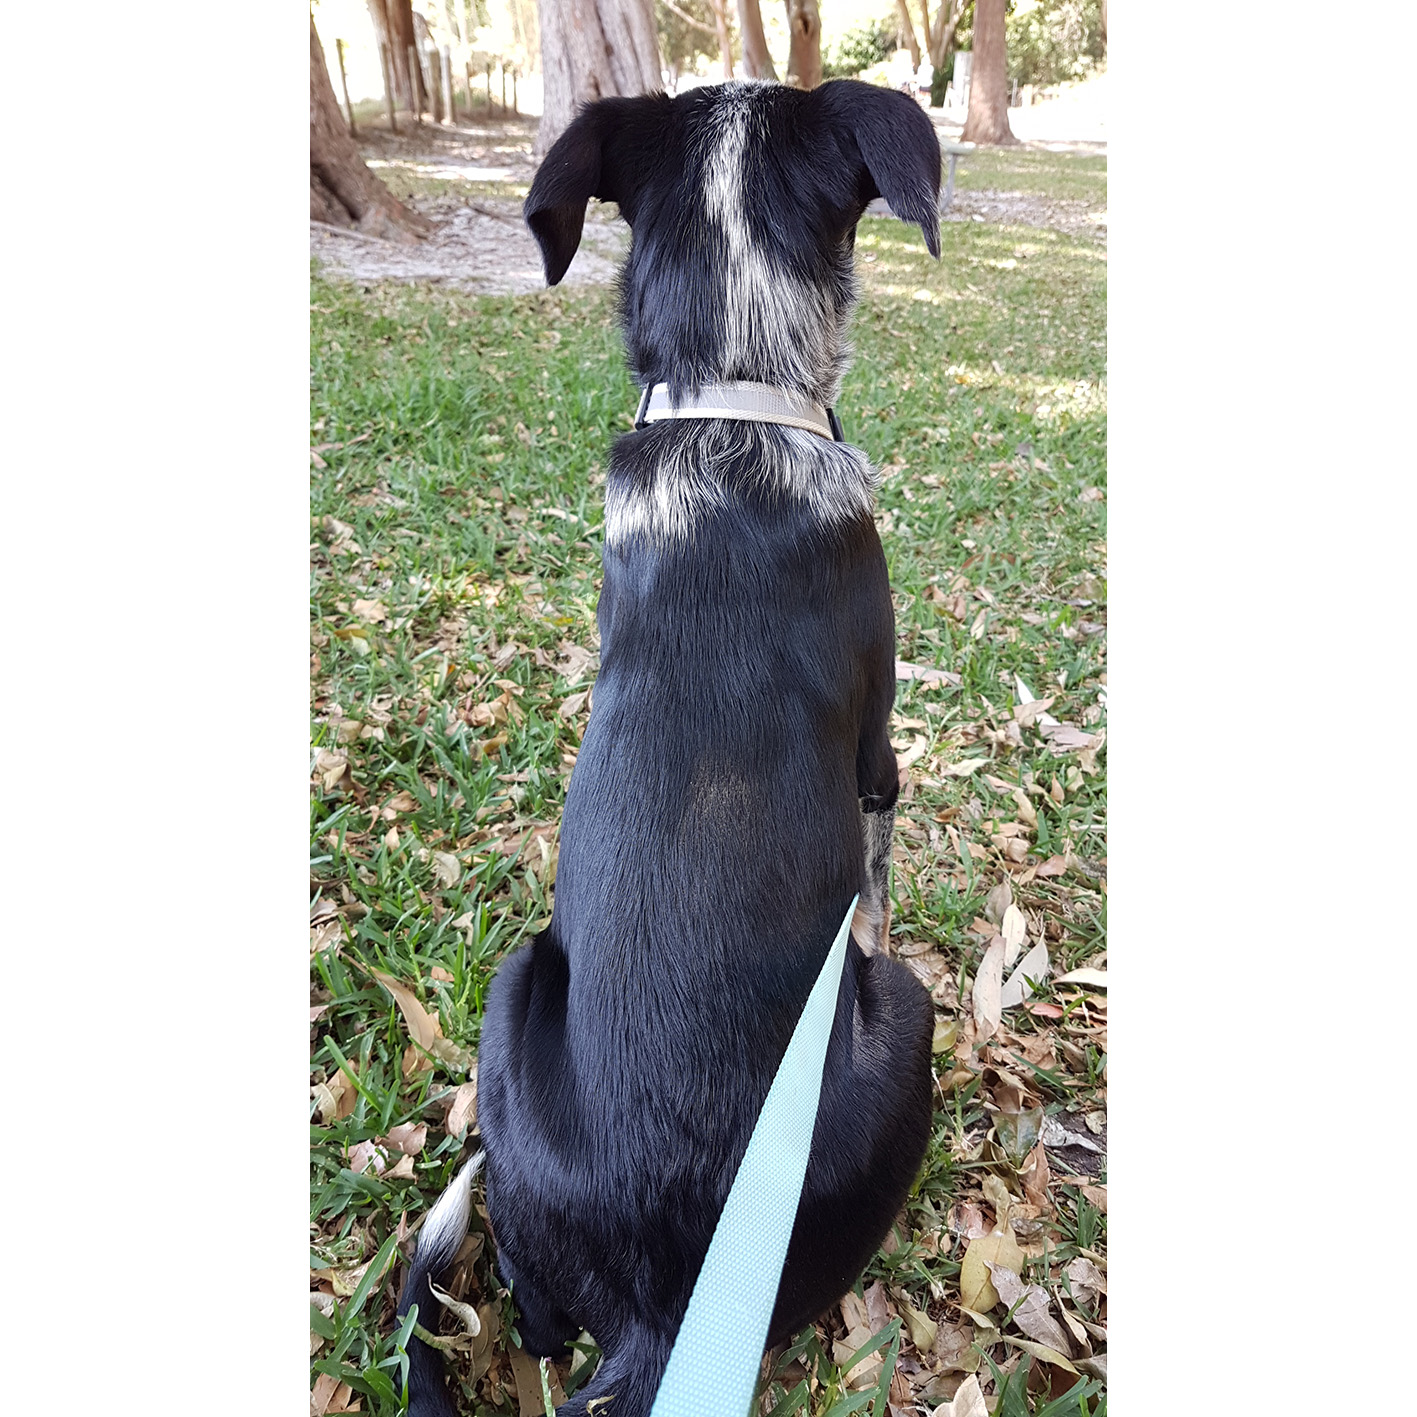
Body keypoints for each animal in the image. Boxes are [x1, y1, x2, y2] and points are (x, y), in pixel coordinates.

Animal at [397, 79, 943, 1417]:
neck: (733, 388)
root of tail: (662, 1313)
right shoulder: (878, 749)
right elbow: (879, 865)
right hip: (905, 1022)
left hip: (513, 990)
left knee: (540, 1322)